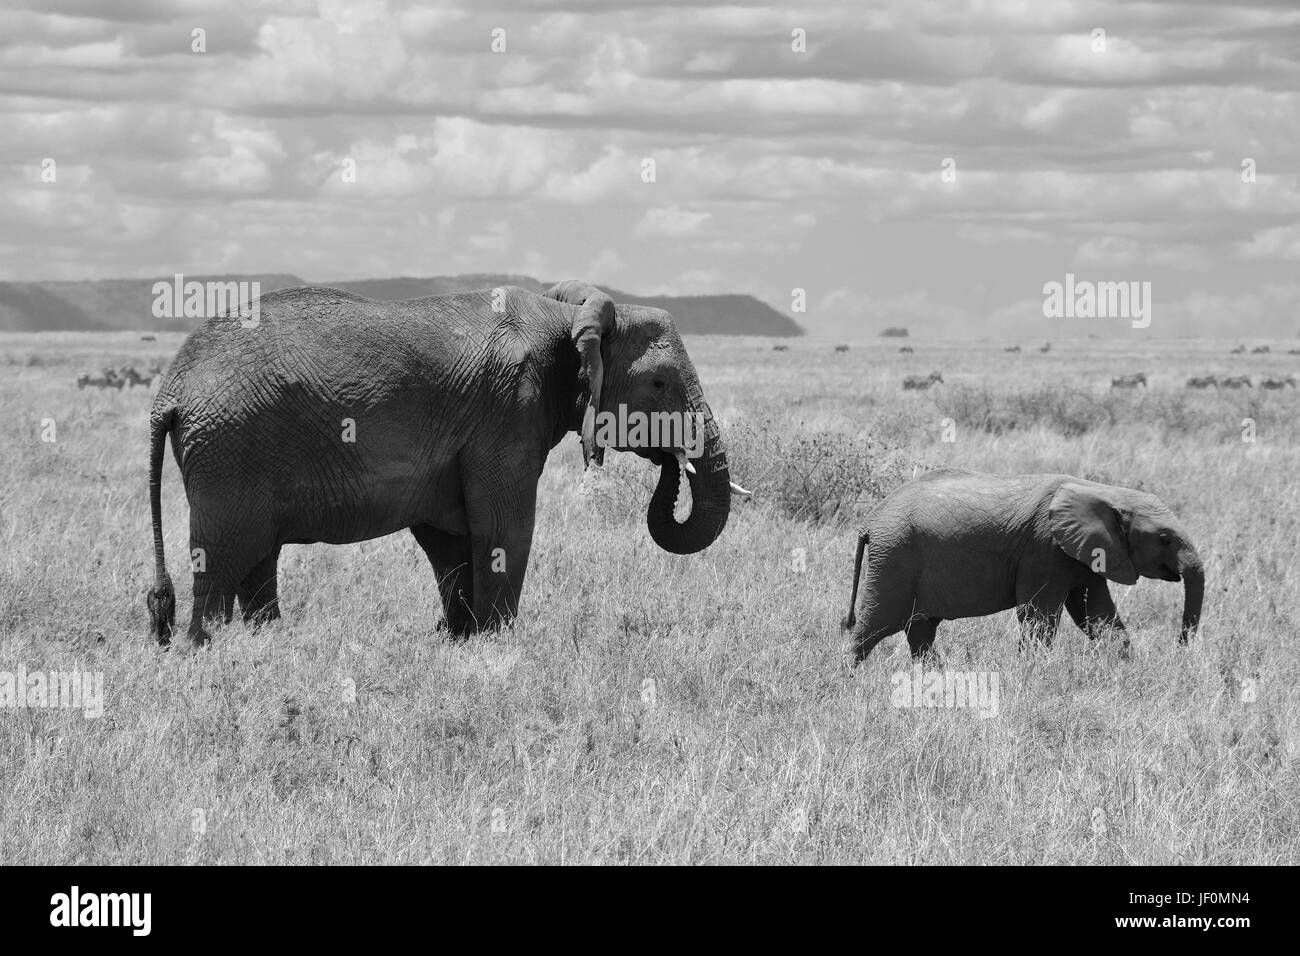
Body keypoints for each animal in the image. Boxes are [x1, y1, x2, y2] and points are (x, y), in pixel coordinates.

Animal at [146, 280, 743, 647]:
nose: (671, 461)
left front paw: (457, 638)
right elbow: (506, 528)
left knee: (255, 560)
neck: (570, 318)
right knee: (224, 558)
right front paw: (496, 645)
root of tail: (169, 390)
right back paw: (207, 648)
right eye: (660, 384)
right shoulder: (508, 411)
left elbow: (451, 537)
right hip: (230, 452)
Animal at [847, 470, 1201, 665]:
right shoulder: (1044, 550)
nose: (1180, 648)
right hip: (895, 557)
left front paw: (1124, 669)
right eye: (1165, 539)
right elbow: (1038, 617)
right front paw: (1032, 677)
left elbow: (1097, 615)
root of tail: (870, 521)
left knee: (920, 631)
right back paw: (849, 681)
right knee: (872, 627)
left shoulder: (1085, 553)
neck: (1103, 491)